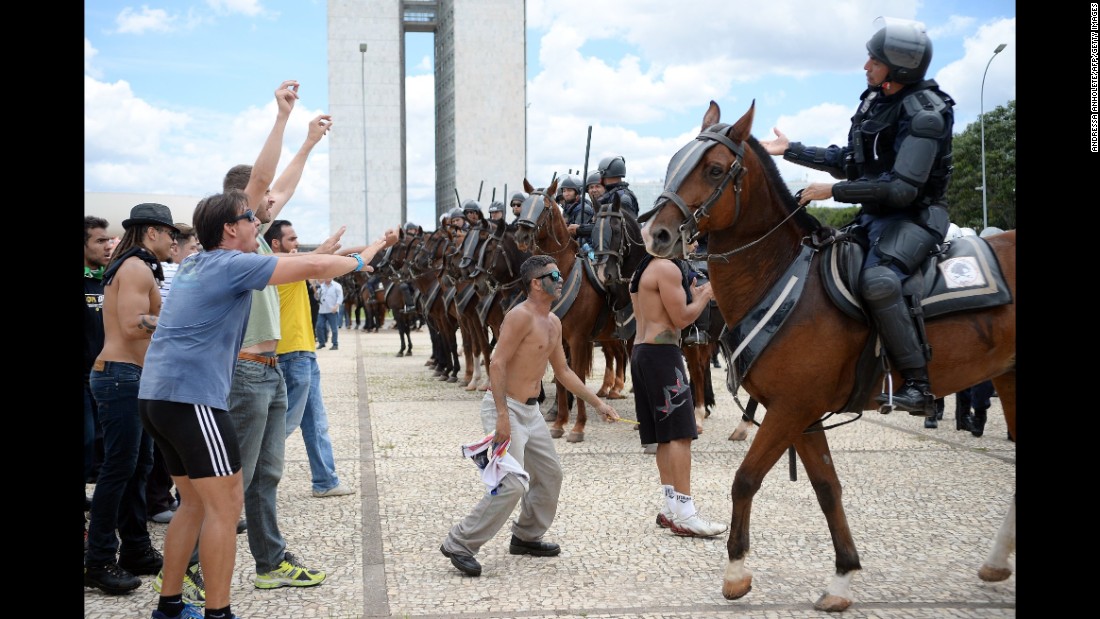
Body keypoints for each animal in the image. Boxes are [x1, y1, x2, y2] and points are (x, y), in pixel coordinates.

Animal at [642, 100, 1012, 611]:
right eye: (676, 161)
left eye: (714, 169)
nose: (656, 234)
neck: (783, 277)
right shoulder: (802, 414)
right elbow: (827, 487)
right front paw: (842, 578)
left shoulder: (790, 409)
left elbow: (745, 479)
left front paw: (736, 572)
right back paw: (996, 563)